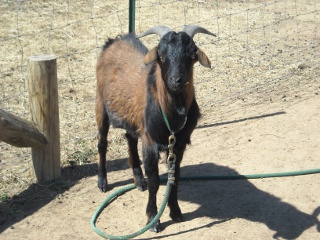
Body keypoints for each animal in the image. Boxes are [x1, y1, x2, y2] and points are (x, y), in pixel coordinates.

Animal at [95, 24, 215, 232]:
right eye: (161, 54)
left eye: (192, 54)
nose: (176, 80)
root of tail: (113, 41)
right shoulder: (150, 141)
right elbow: (154, 182)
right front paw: (152, 218)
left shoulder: (179, 144)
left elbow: (174, 178)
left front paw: (175, 212)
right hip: (101, 104)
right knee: (102, 142)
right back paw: (102, 182)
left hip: (133, 117)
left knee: (130, 138)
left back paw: (138, 179)